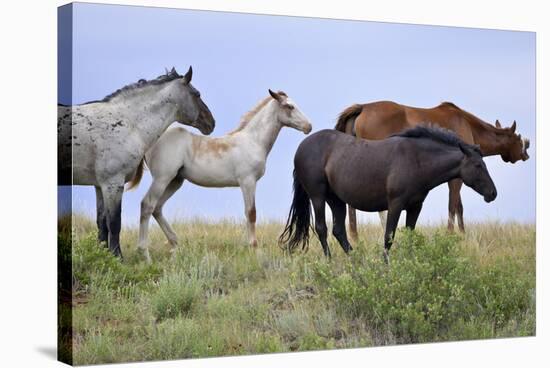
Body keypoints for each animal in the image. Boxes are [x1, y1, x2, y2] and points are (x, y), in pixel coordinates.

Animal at [58, 66, 216, 258]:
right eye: (197, 94)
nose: (211, 123)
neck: (128, 124)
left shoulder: (99, 185)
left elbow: (101, 223)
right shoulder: (112, 184)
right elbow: (114, 223)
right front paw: (118, 258)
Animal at [136, 89, 312, 262]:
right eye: (289, 106)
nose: (308, 126)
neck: (253, 141)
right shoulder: (247, 181)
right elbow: (251, 213)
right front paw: (255, 250)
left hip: (175, 181)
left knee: (157, 208)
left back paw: (175, 244)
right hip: (162, 178)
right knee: (147, 204)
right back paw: (145, 254)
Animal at [280, 126, 500, 262]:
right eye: (478, 165)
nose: (493, 193)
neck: (417, 159)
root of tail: (301, 147)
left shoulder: (415, 206)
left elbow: (410, 235)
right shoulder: (395, 204)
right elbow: (389, 237)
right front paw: (386, 264)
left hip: (336, 200)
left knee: (339, 230)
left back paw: (356, 260)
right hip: (318, 196)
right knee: (322, 229)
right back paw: (330, 261)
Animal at [334, 102, 532, 237]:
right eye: (517, 138)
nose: (526, 153)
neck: (468, 124)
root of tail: (363, 108)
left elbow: (458, 207)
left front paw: (462, 234)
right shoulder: (457, 178)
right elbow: (453, 206)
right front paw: (452, 234)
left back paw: (355, 237)